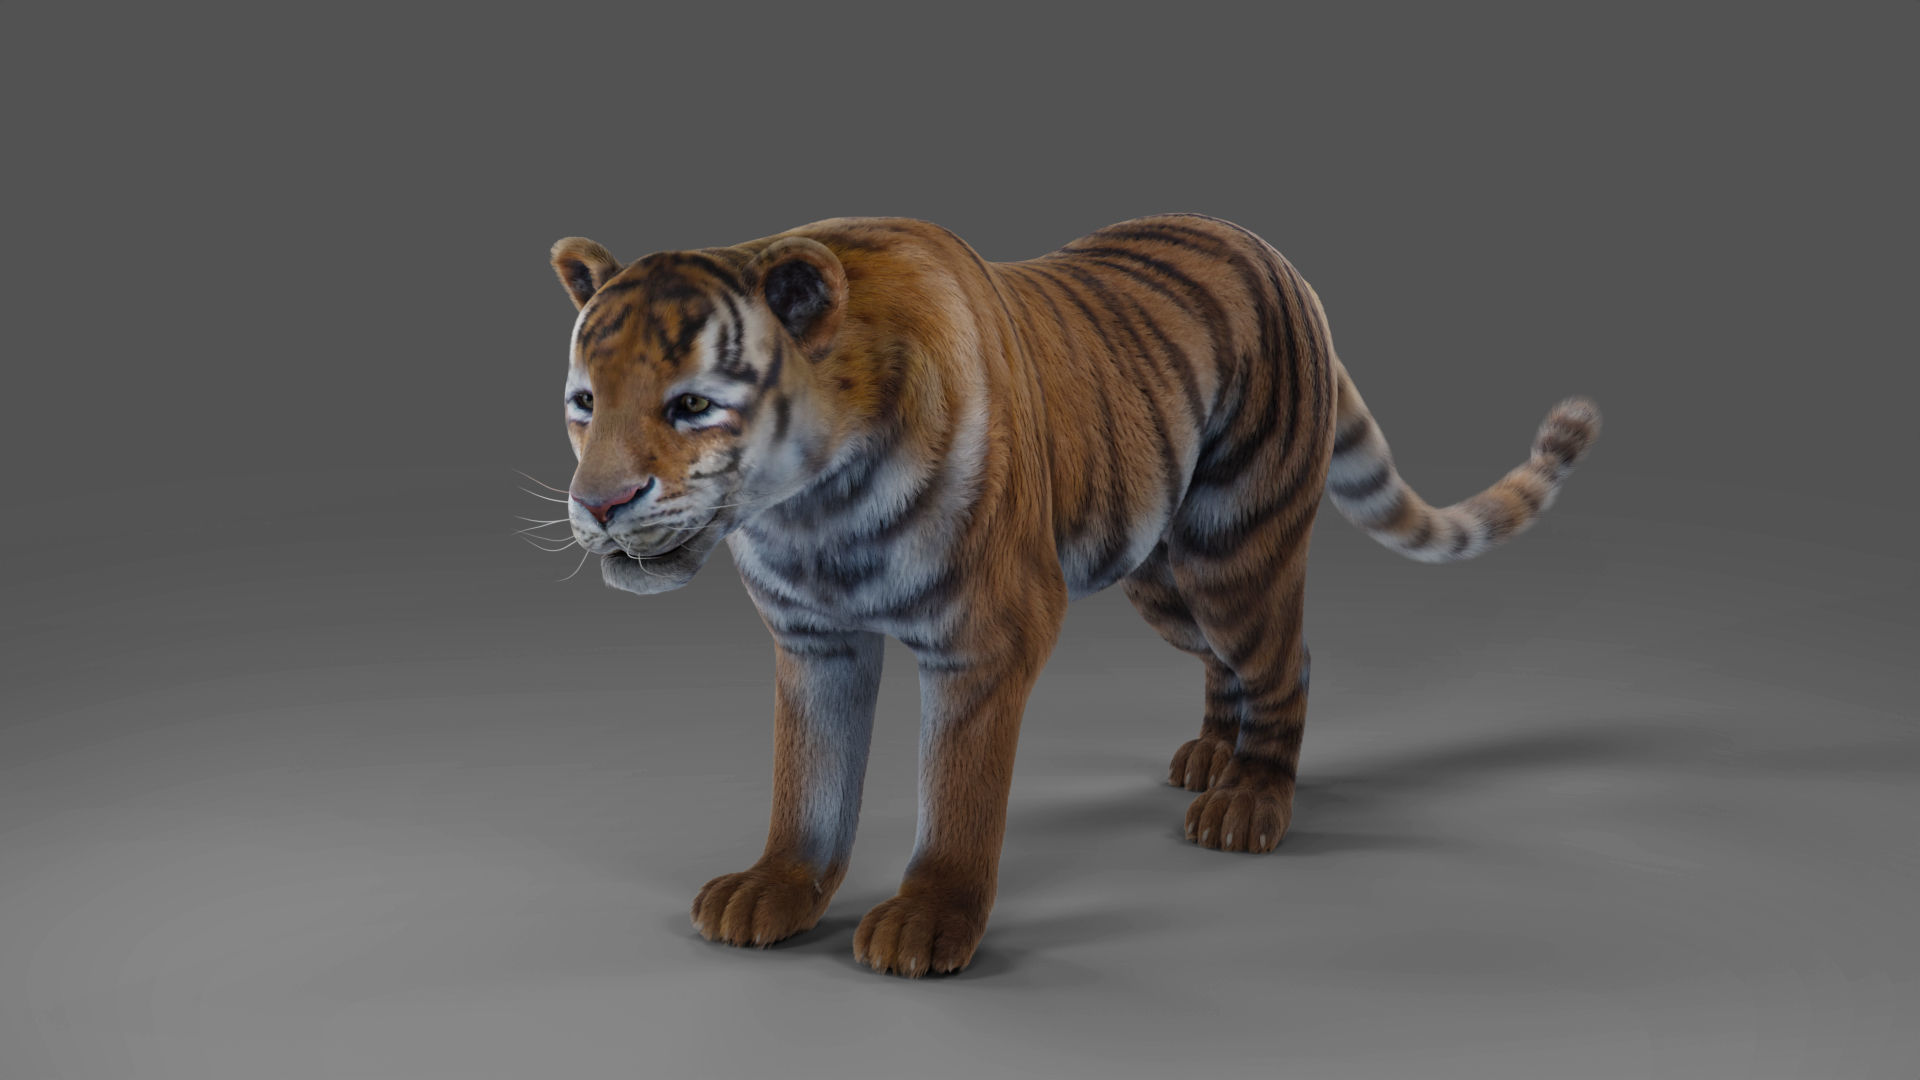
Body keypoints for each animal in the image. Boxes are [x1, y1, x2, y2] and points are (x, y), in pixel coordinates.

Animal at [544, 213, 1599, 978]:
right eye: (585, 403)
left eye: (692, 405)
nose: (598, 503)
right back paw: (1209, 760)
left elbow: (958, 791)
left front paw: (929, 920)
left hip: (1234, 554)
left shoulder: (985, 640)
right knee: (1228, 667)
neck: (812, 514)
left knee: (1285, 660)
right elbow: (808, 779)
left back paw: (1249, 802)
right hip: (1165, 581)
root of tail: (1273, 254)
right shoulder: (816, 643)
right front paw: (775, 888)